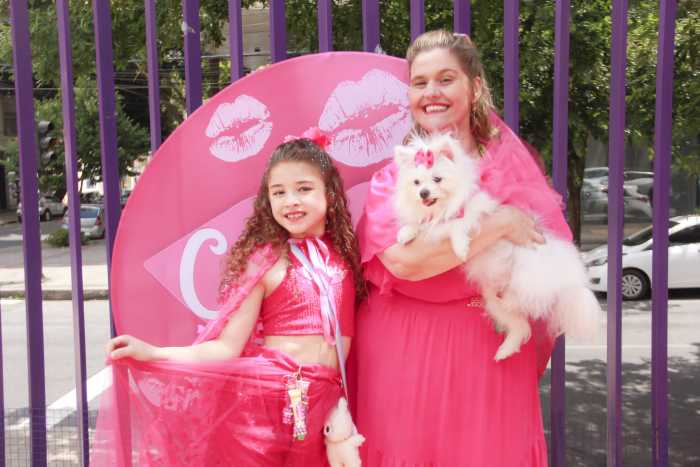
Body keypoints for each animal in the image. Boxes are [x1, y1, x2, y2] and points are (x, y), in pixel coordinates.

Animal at [393, 133, 600, 360]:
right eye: (416, 182)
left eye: (437, 179)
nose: (423, 193)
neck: (443, 207)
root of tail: (568, 281)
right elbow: (421, 225)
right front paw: (405, 233)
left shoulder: (477, 211)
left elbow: (457, 224)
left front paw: (460, 247)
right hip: (492, 299)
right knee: (519, 325)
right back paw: (505, 350)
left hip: (526, 269)